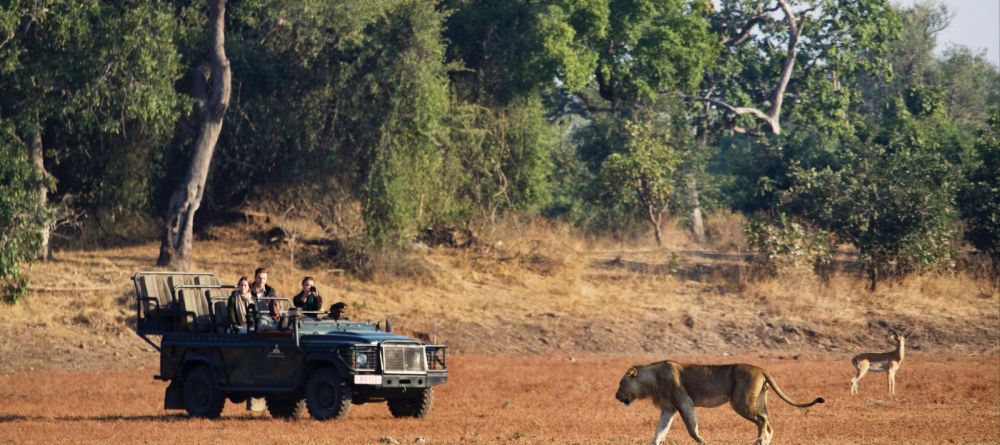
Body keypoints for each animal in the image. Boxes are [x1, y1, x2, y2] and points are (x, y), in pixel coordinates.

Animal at [615, 361, 824, 445]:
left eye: (621, 383)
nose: (616, 397)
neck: (651, 379)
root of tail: (761, 368)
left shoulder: (684, 402)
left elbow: (691, 428)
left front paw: (702, 441)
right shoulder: (669, 409)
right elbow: (659, 431)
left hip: (741, 402)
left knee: (762, 421)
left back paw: (758, 441)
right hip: (756, 401)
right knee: (768, 424)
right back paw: (764, 441)